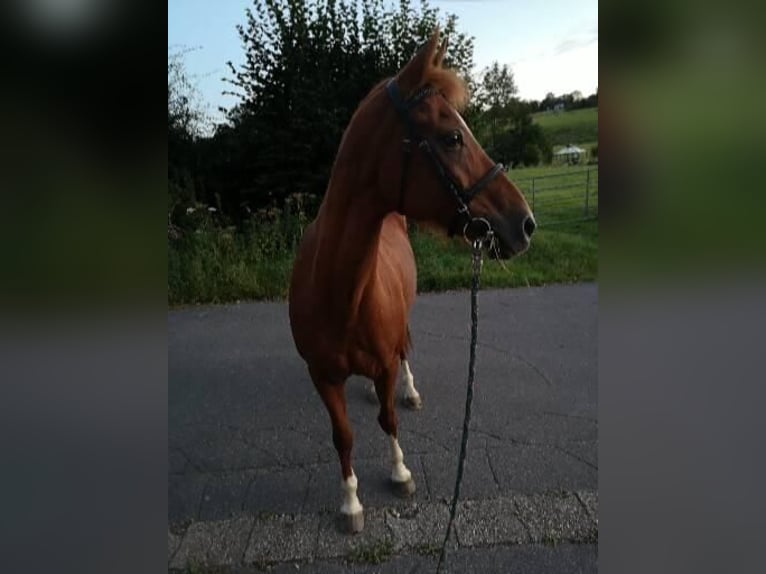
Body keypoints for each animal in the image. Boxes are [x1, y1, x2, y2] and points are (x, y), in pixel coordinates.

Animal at [292, 30, 536, 536]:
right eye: (452, 137)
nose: (525, 223)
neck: (337, 293)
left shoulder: (383, 362)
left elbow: (387, 420)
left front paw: (400, 472)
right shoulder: (321, 375)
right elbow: (343, 436)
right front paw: (350, 502)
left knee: (405, 349)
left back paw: (409, 389)